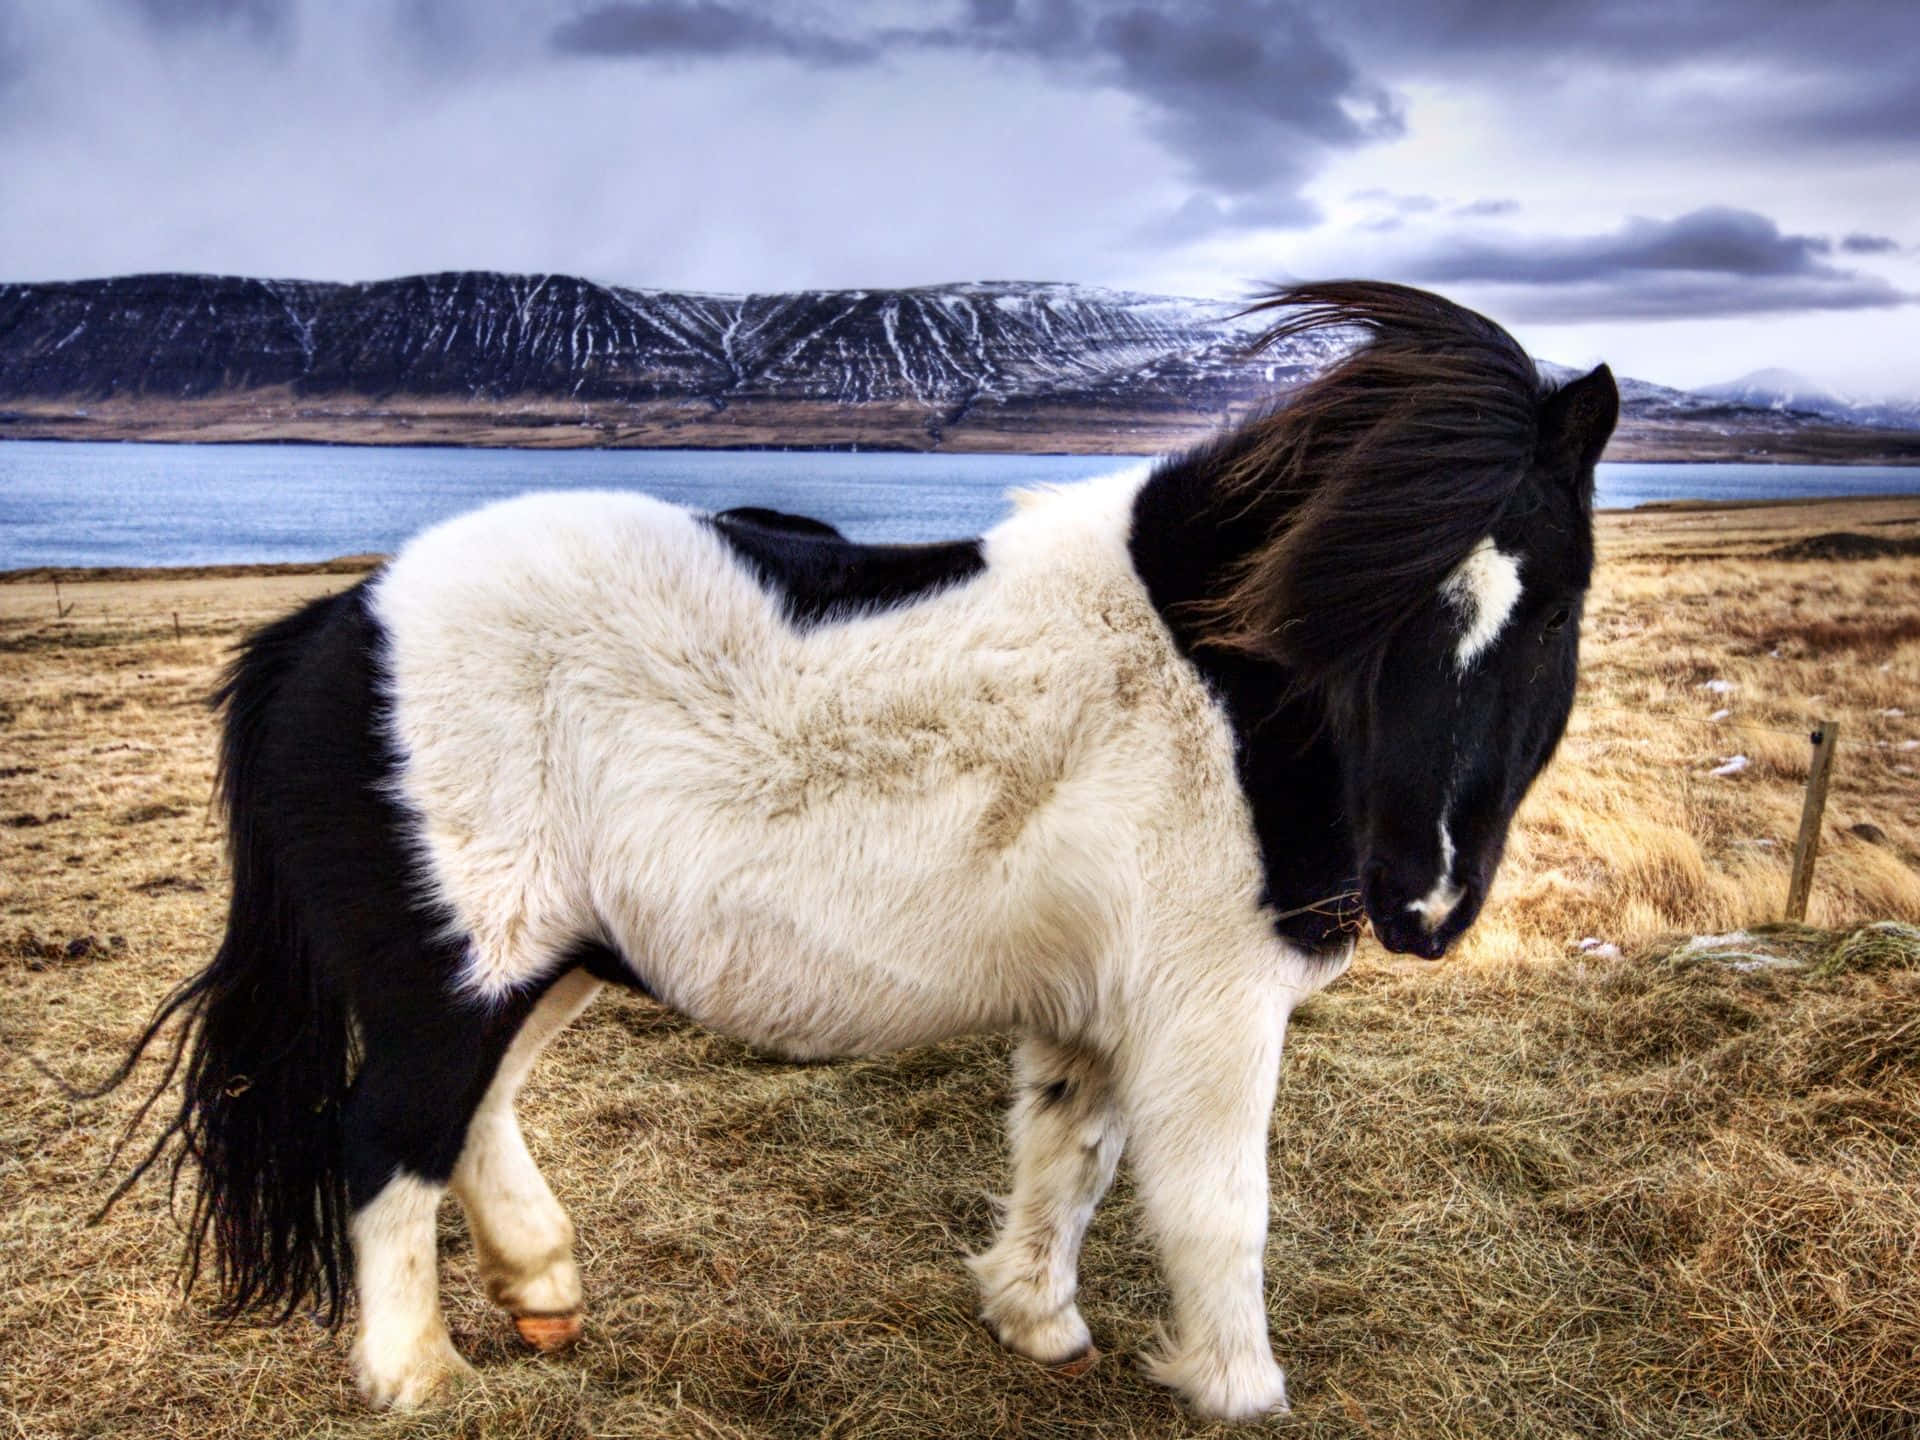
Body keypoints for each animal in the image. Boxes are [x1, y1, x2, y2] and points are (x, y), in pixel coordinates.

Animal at [102, 281, 1616, 1421]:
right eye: (1361, 606)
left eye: (1552, 613)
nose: (1423, 900)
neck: (1220, 690)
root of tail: (338, 627)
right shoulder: (1209, 1009)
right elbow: (1216, 1208)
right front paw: (1237, 1390)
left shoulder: (1098, 1006)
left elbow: (1070, 1157)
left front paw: (1036, 1322)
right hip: (454, 978)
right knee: (387, 1142)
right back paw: (416, 1376)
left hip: (540, 964)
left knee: (472, 1115)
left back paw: (541, 1288)